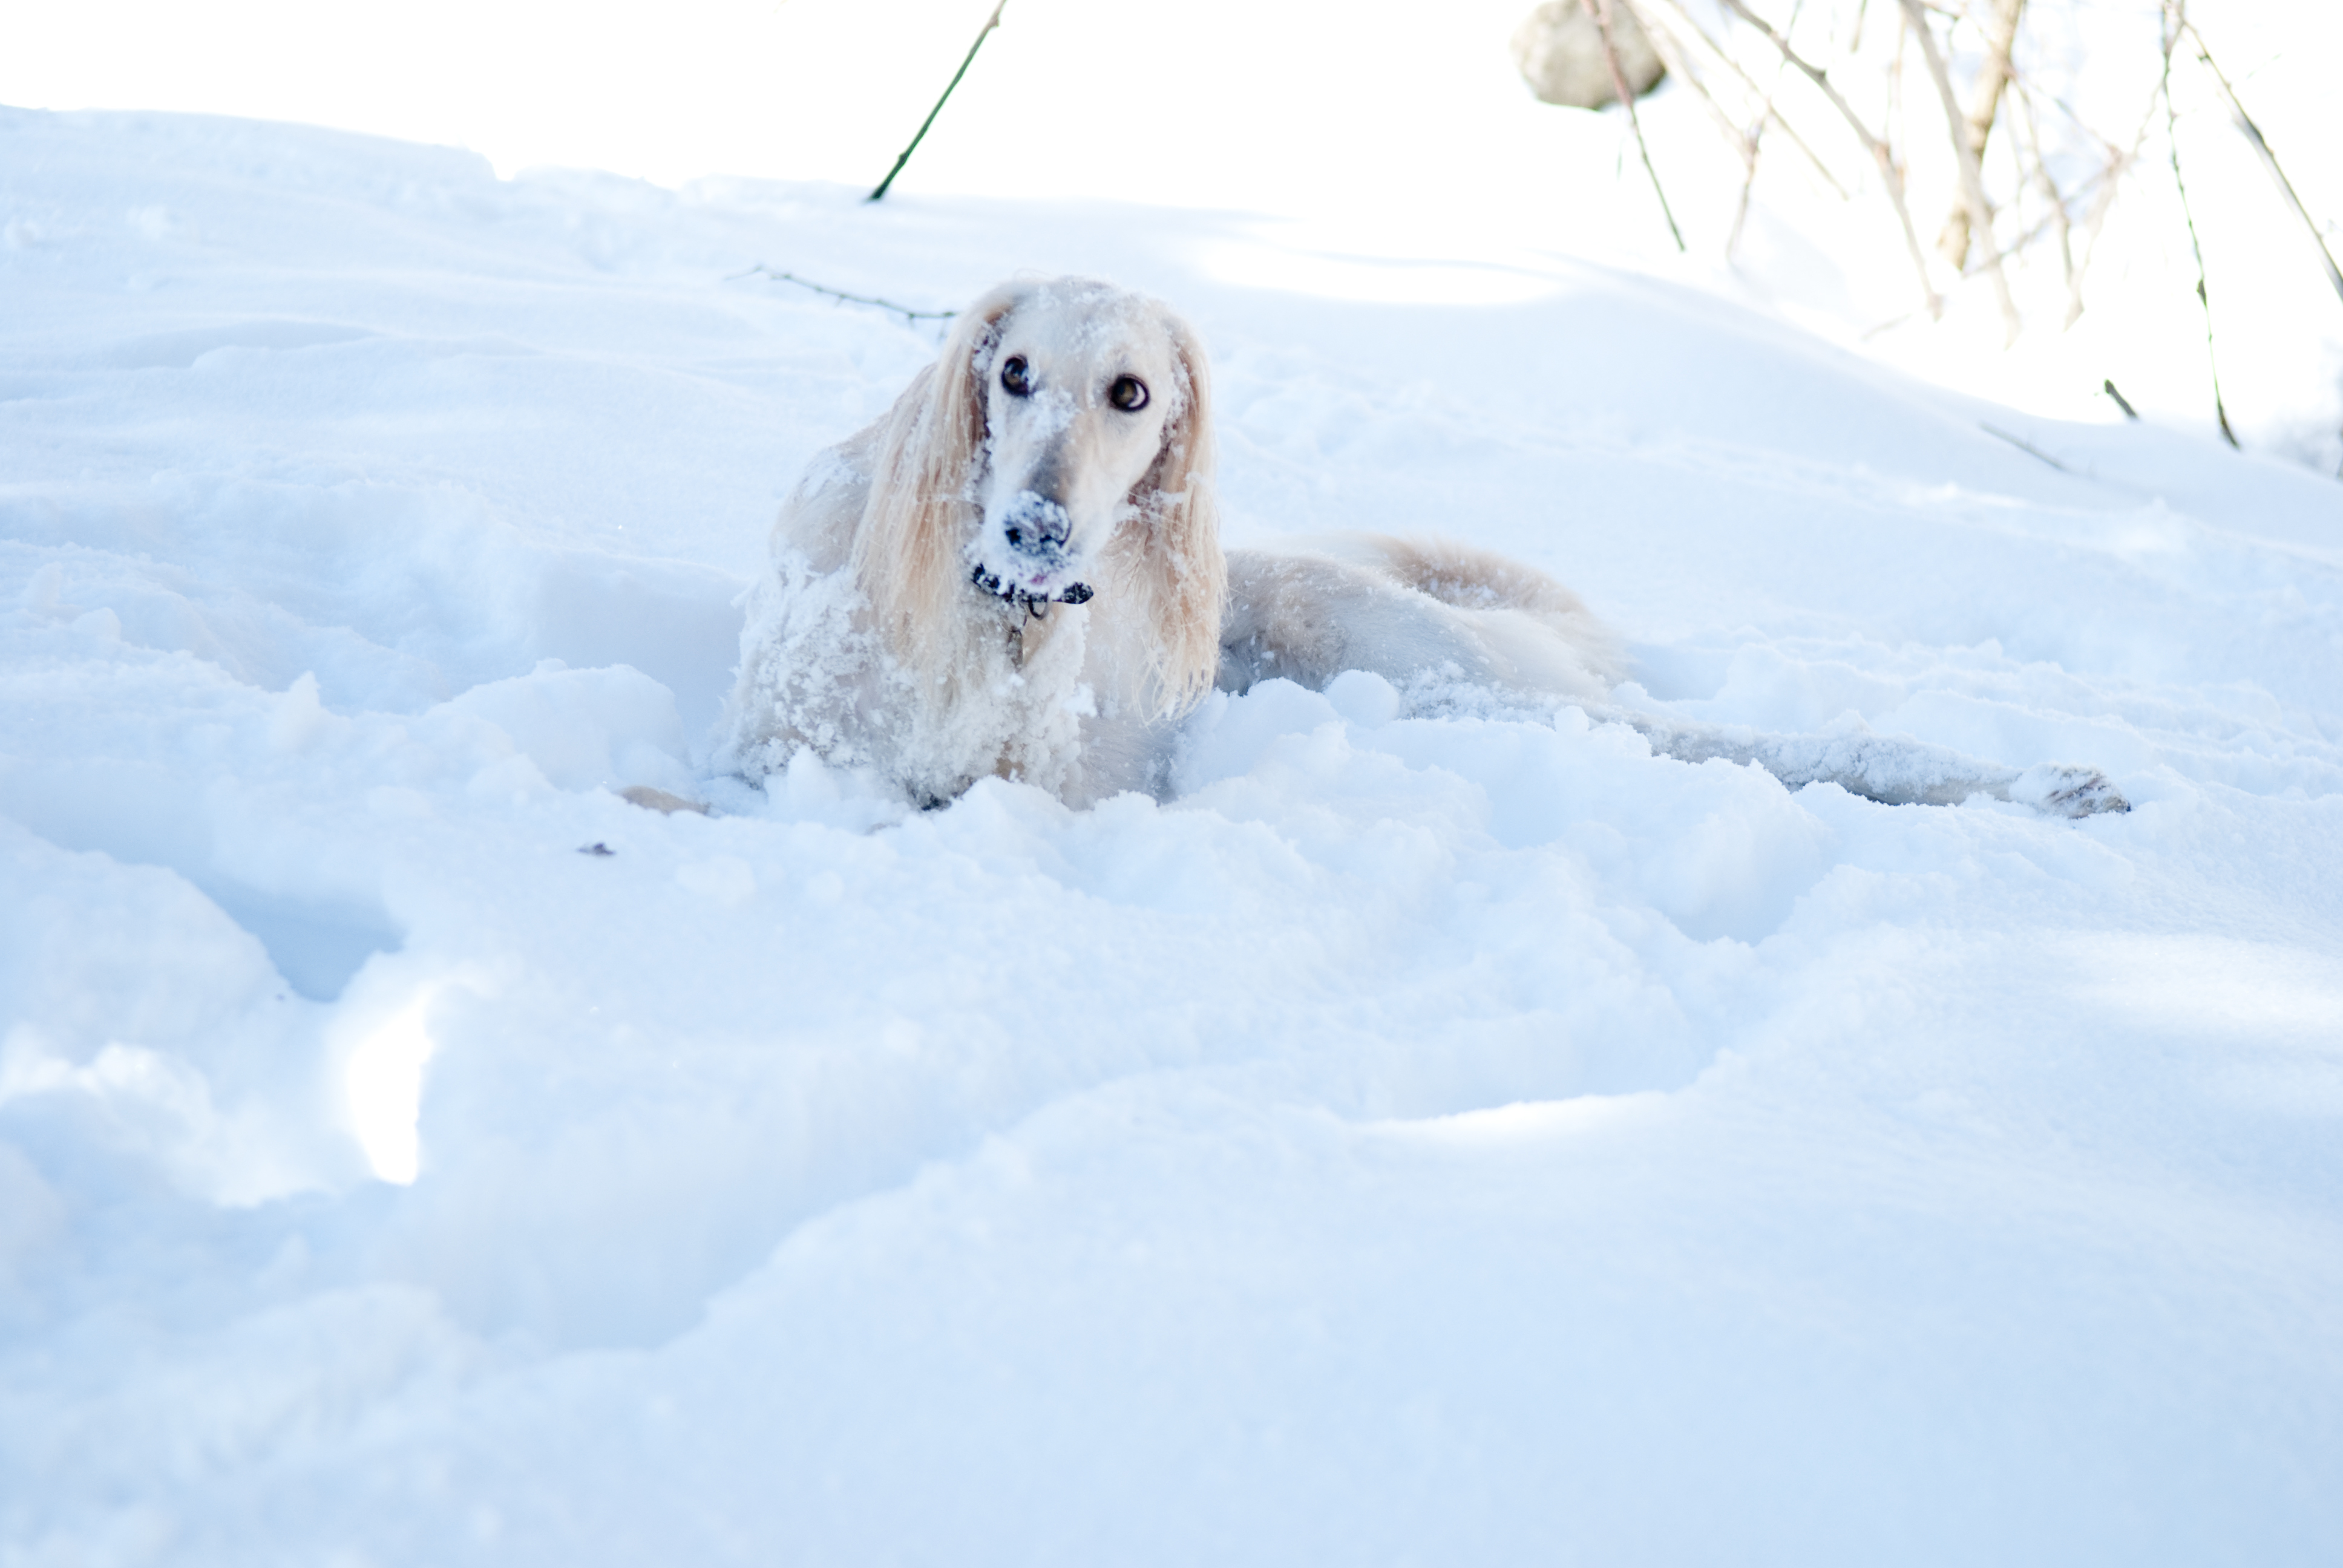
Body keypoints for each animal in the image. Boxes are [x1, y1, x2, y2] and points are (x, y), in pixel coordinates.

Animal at [716, 275, 2125, 819]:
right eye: (1011, 373)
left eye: (1131, 394)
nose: (1039, 525)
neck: (999, 618)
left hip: (1439, 667)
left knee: (1775, 746)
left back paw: (2054, 785)